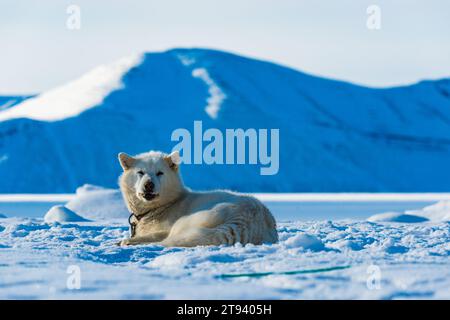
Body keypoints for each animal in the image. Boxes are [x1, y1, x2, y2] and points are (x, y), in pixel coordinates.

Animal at [116, 151, 278, 248]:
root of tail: (247, 219)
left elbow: (152, 236)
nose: (148, 185)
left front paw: (128, 240)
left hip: (185, 223)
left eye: (160, 173)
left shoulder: (166, 229)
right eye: (140, 172)